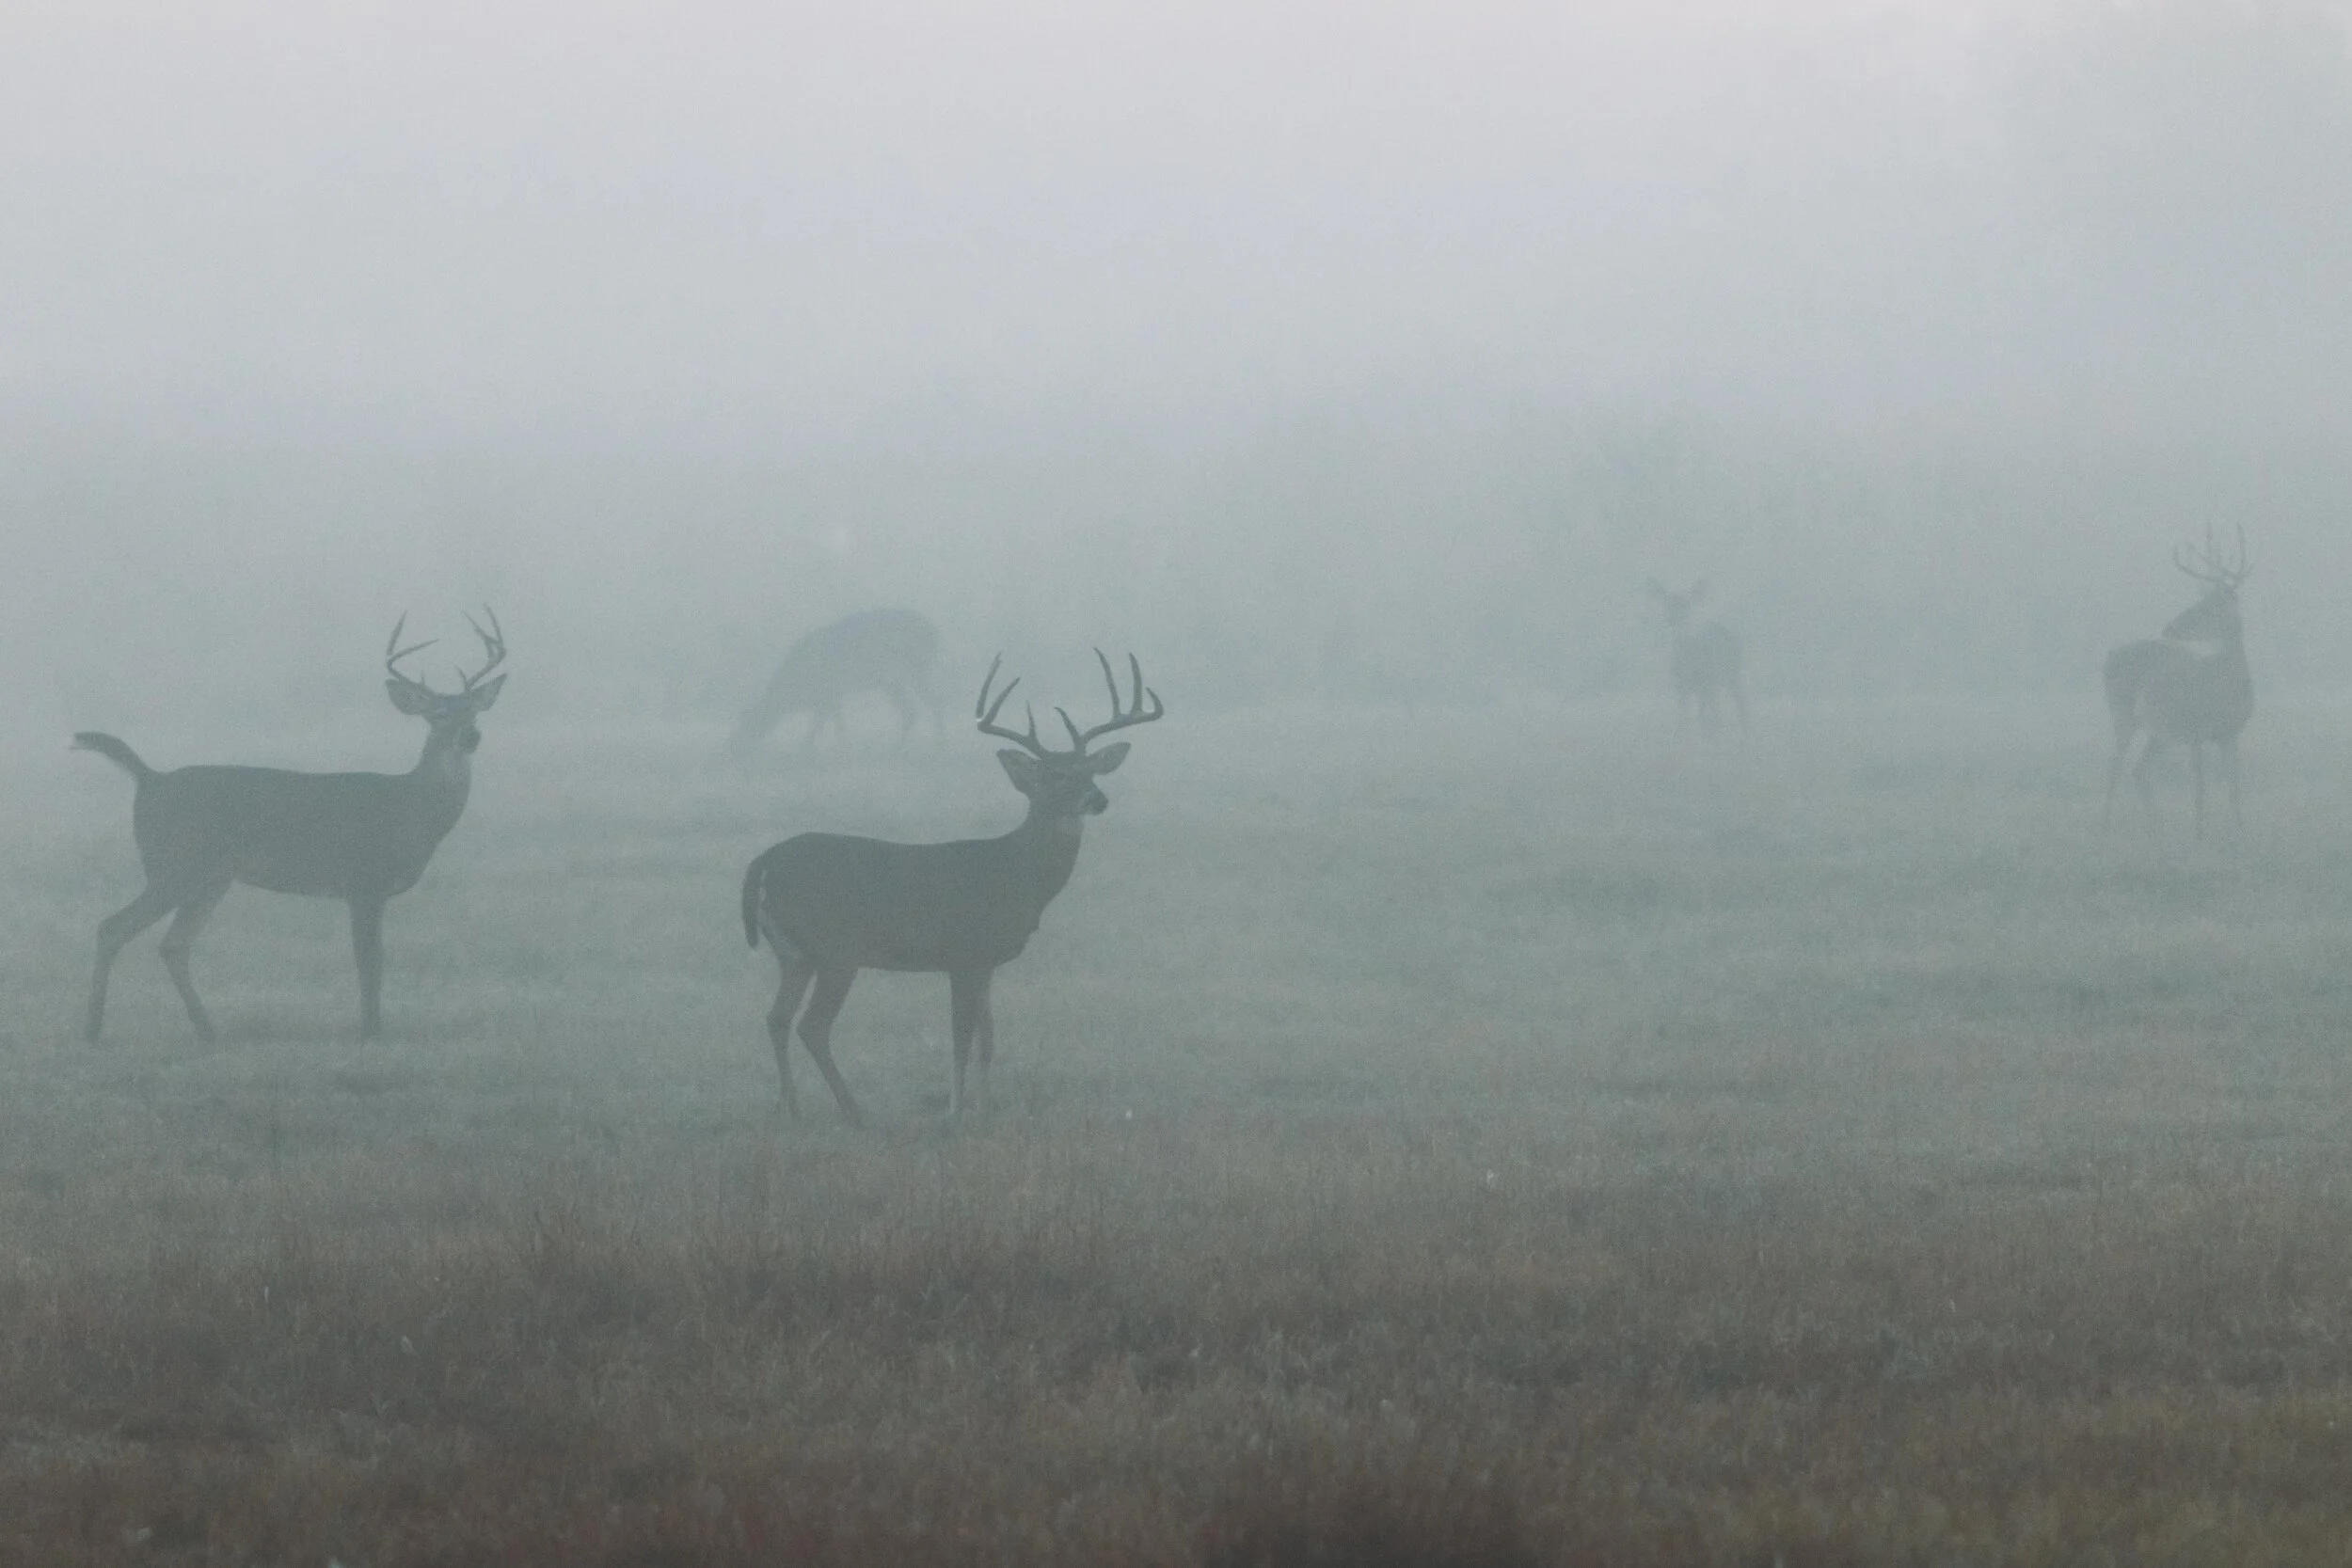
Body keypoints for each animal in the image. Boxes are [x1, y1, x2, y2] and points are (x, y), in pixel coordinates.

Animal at [76, 612, 508, 1044]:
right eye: (438, 714)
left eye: (473, 711)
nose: (471, 736)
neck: (412, 812)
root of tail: (151, 779)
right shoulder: (362, 882)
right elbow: (369, 962)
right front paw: (371, 1032)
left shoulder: (370, 890)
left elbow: (375, 962)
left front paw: (373, 1028)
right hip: (173, 865)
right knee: (112, 928)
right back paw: (93, 1032)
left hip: (210, 878)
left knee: (173, 945)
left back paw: (208, 1033)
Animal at [725, 607, 940, 758]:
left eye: (748, 723)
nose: (732, 747)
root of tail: (934, 633)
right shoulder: (833, 695)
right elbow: (834, 720)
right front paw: (840, 745)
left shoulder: (829, 692)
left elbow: (822, 722)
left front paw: (806, 747)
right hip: (892, 681)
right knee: (911, 710)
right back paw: (899, 747)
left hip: (915, 670)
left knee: (932, 703)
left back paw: (937, 742)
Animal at [740, 650, 1164, 1123]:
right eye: (1054, 774)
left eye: (1091, 770)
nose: (1098, 798)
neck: (1014, 873)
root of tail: (763, 863)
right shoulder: (964, 952)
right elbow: (961, 1037)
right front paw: (955, 1114)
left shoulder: (987, 962)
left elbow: (988, 1039)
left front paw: (986, 1109)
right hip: (836, 948)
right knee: (812, 1025)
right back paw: (855, 1112)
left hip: (793, 954)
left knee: (776, 1018)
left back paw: (792, 1109)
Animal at [1646, 579, 1746, 730]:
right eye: (1668, 604)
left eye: (1688, 605)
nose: (1674, 618)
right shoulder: (1681, 685)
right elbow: (1683, 714)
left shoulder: (1705, 681)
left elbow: (1705, 712)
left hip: (1731, 673)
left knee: (1737, 701)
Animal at [2102, 526, 2254, 841]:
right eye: (2199, 602)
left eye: (2208, 608)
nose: (2169, 628)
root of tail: (2107, 659)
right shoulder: (2194, 729)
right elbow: (2200, 788)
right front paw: (2199, 837)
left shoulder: (2230, 733)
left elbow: (2234, 789)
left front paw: (2240, 833)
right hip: (2122, 714)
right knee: (2115, 768)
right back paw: (2104, 829)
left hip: (2158, 731)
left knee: (2138, 769)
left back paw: (2156, 830)